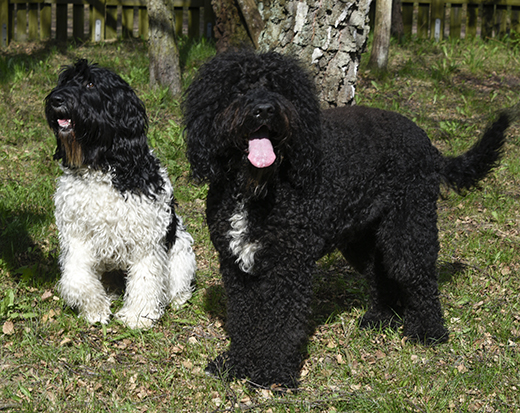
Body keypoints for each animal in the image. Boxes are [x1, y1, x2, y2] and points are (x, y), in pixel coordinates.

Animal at [46, 58, 197, 328]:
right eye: (64, 81)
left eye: (90, 84)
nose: (55, 99)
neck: (102, 167)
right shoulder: (76, 234)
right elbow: (76, 276)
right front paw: (94, 308)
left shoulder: (146, 239)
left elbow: (145, 279)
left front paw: (138, 316)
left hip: (180, 250)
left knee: (177, 284)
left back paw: (178, 298)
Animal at [183, 50, 512, 386]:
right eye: (238, 89)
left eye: (278, 88)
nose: (264, 109)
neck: (259, 185)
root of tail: (429, 144)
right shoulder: (236, 265)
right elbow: (244, 319)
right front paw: (236, 364)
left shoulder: (289, 265)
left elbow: (280, 323)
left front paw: (273, 372)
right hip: (363, 240)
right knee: (381, 275)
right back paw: (382, 318)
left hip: (409, 228)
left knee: (419, 279)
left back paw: (428, 332)